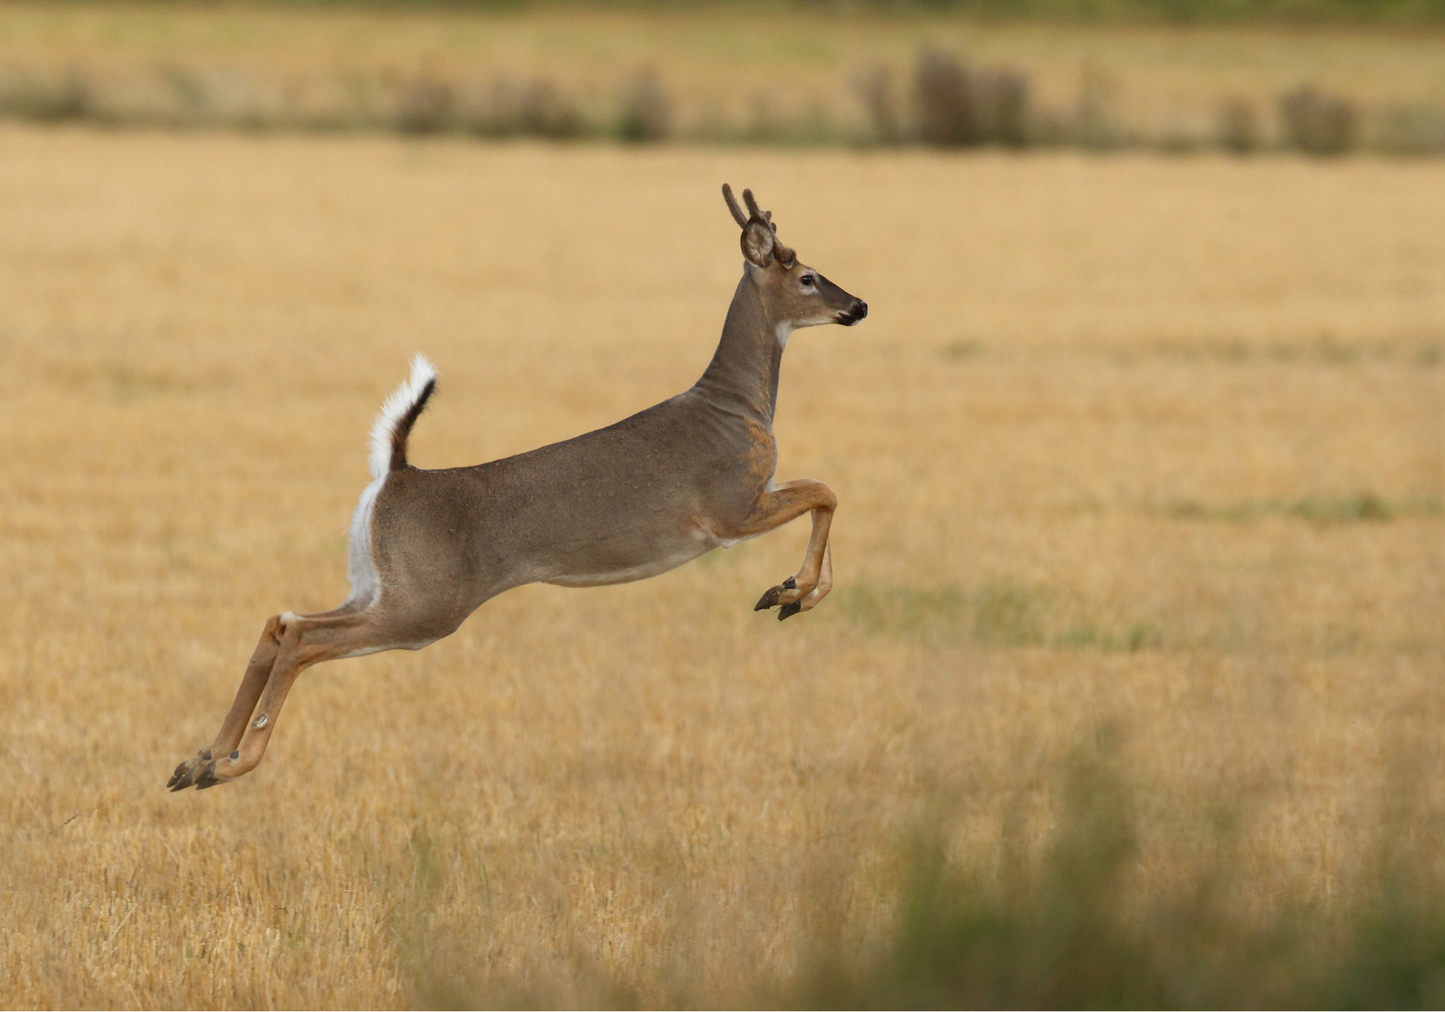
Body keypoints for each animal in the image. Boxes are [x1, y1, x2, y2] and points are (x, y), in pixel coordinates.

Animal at [167, 185, 867, 791]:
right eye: (807, 277)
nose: (858, 305)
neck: (736, 406)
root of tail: (394, 473)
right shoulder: (728, 510)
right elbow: (826, 490)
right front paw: (789, 592)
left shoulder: (745, 506)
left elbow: (825, 496)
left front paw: (792, 593)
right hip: (426, 604)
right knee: (303, 639)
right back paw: (230, 764)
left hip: (377, 584)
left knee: (281, 621)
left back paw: (197, 761)